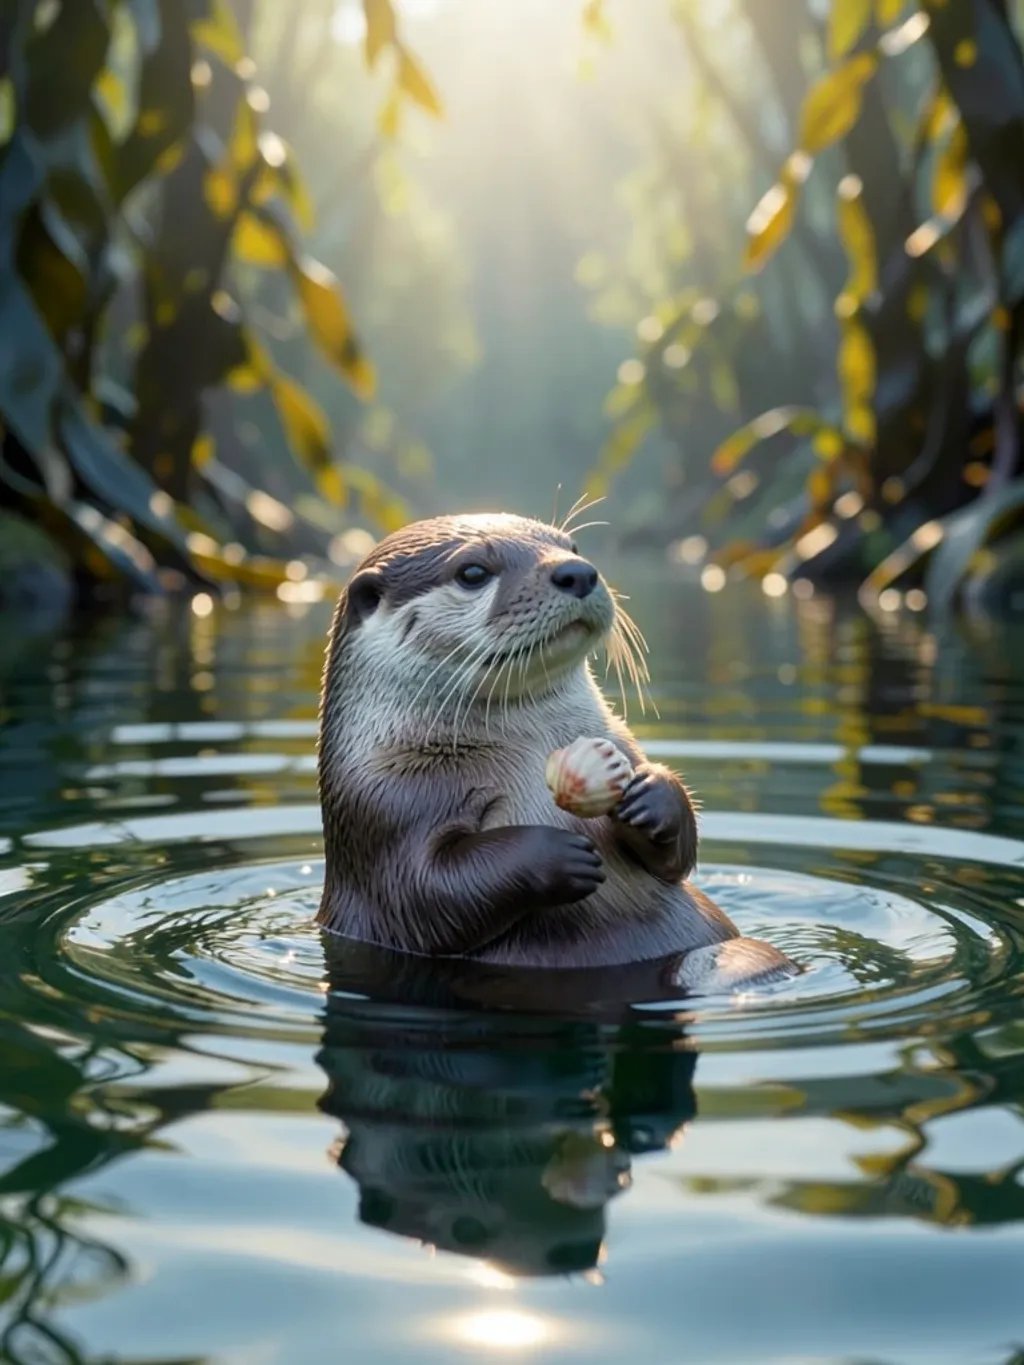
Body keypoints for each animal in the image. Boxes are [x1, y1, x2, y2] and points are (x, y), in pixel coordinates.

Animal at [317, 513, 795, 993]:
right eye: (472, 572)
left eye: (573, 547)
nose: (577, 572)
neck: (532, 752)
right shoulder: (381, 808)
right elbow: (425, 893)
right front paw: (556, 854)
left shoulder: (620, 740)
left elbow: (675, 863)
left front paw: (653, 799)